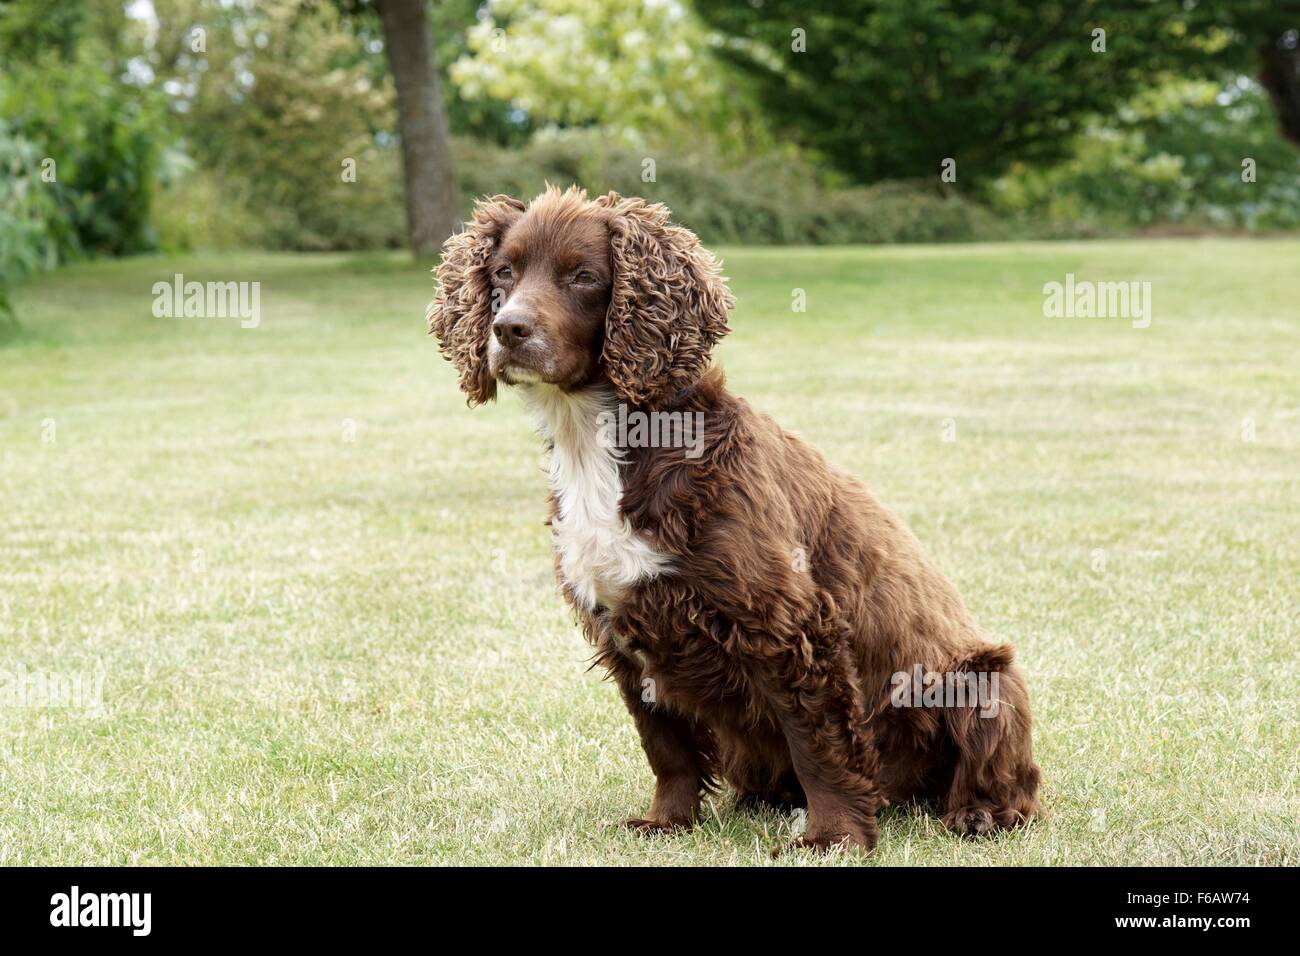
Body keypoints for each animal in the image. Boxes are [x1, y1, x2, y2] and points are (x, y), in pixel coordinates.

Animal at [431, 187, 1040, 853]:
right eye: (503, 273)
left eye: (583, 276)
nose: (508, 329)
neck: (605, 447)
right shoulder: (625, 627)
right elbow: (665, 746)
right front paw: (667, 821)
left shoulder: (788, 622)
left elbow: (820, 742)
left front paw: (833, 835)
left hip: (985, 679)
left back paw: (978, 813)